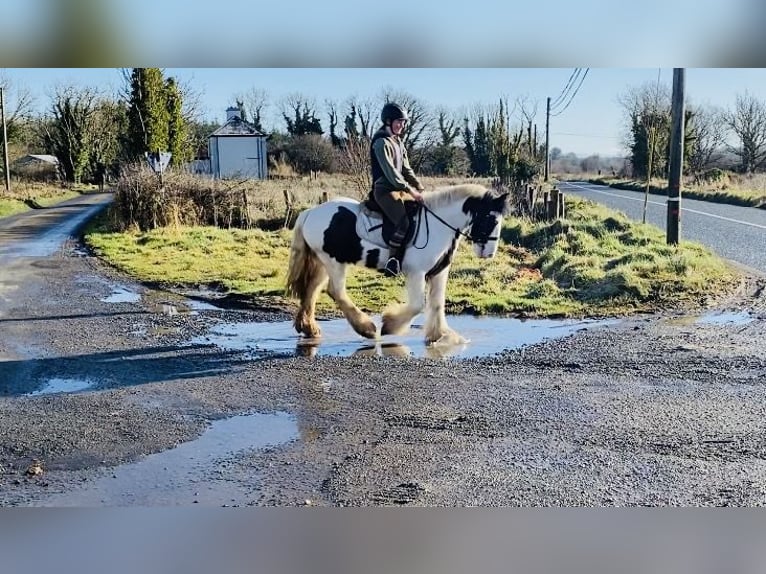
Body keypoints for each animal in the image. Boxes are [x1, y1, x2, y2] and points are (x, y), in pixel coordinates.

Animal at [284, 184, 508, 346]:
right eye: (490, 219)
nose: (489, 253)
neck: (439, 226)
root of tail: (310, 212)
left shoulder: (439, 273)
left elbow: (437, 304)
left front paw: (440, 335)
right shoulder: (417, 273)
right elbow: (418, 305)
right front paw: (390, 326)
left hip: (322, 261)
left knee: (312, 290)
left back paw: (309, 329)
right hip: (333, 261)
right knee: (334, 291)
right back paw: (367, 329)